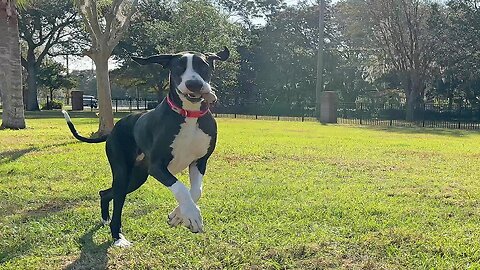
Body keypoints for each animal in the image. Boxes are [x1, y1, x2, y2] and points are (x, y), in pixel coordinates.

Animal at [61, 48, 229, 247]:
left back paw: (105, 219)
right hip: (123, 173)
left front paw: (178, 216)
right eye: (178, 67)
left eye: (203, 65)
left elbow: (195, 191)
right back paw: (117, 236)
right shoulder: (157, 167)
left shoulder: (200, 162)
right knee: (117, 202)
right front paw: (192, 216)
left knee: (105, 193)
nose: (194, 84)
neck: (189, 114)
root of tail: (113, 130)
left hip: (136, 178)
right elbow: (180, 187)